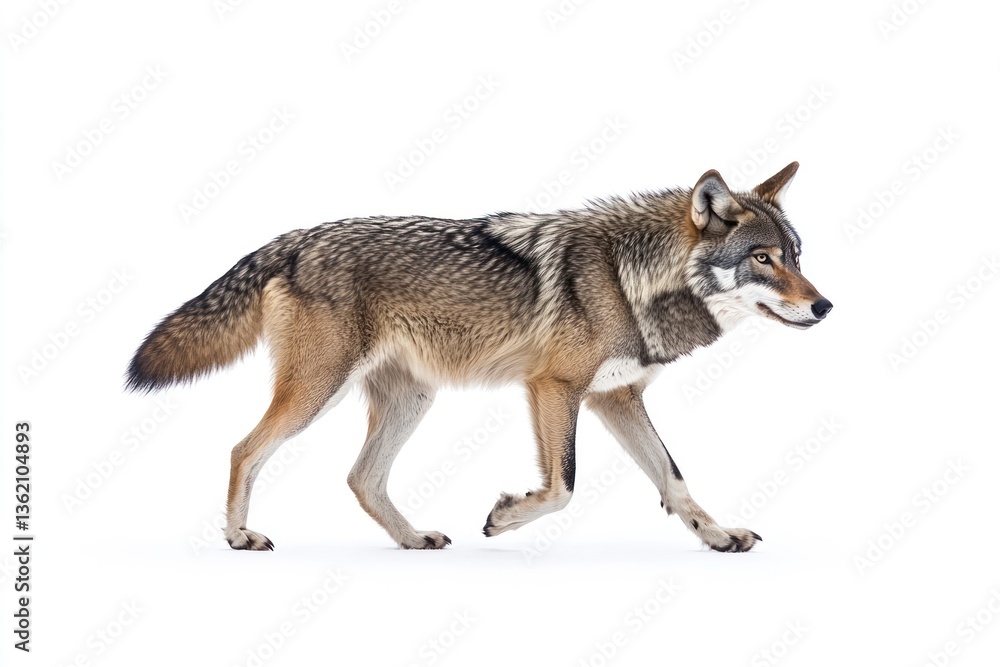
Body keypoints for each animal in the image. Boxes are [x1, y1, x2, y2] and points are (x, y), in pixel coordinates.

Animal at [126, 162, 831, 553]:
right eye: (763, 259)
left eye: (796, 255)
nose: (825, 307)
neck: (629, 277)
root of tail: (292, 239)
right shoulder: (554, 387)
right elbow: (563, 486)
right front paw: (505, 518)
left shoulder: (614, 397)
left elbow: (675, 481)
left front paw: (718, 535)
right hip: (317, 391)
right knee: (243, 449)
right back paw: (238, 537)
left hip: (411, 398)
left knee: (361, 478)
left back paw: (411, 539)